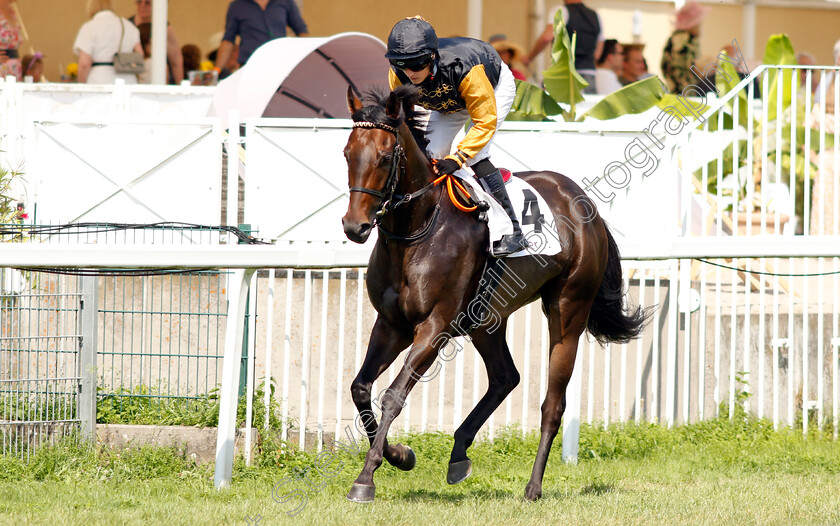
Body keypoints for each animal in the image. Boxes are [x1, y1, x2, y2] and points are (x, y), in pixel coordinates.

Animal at [338, 84, 648, 506]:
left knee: (553, 404)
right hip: (487, 320)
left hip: (568, 310)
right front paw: (400, 455)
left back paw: (533, 487)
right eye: (347, 153)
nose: (355, 226)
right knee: (505, 377)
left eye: (386, 157)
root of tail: (586, 204)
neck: (417, 231)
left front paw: (366, 478)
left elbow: (393, 395)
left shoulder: (434, 327)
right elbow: (361, 388)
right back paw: (459, 453)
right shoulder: (391, 325)